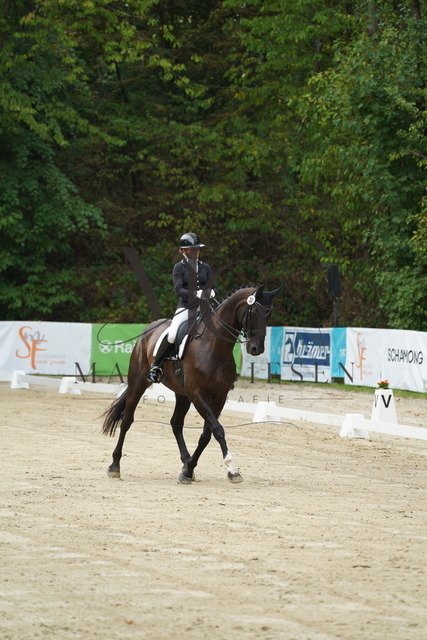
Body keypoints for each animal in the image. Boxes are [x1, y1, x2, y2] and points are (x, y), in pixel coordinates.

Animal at [102, 285, 281, 483]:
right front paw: (232, 469)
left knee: (176, 423)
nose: (256, 349)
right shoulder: (197, 394)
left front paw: (189, 469)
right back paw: (114, 466)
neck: (214, 346)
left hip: (182, 394)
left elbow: (207, 434)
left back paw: (186, 461)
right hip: (139, 382)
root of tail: (148, 329)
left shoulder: (219, 397)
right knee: (127, 420)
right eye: (254, 311)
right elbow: (218, 430)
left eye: (269, 314)